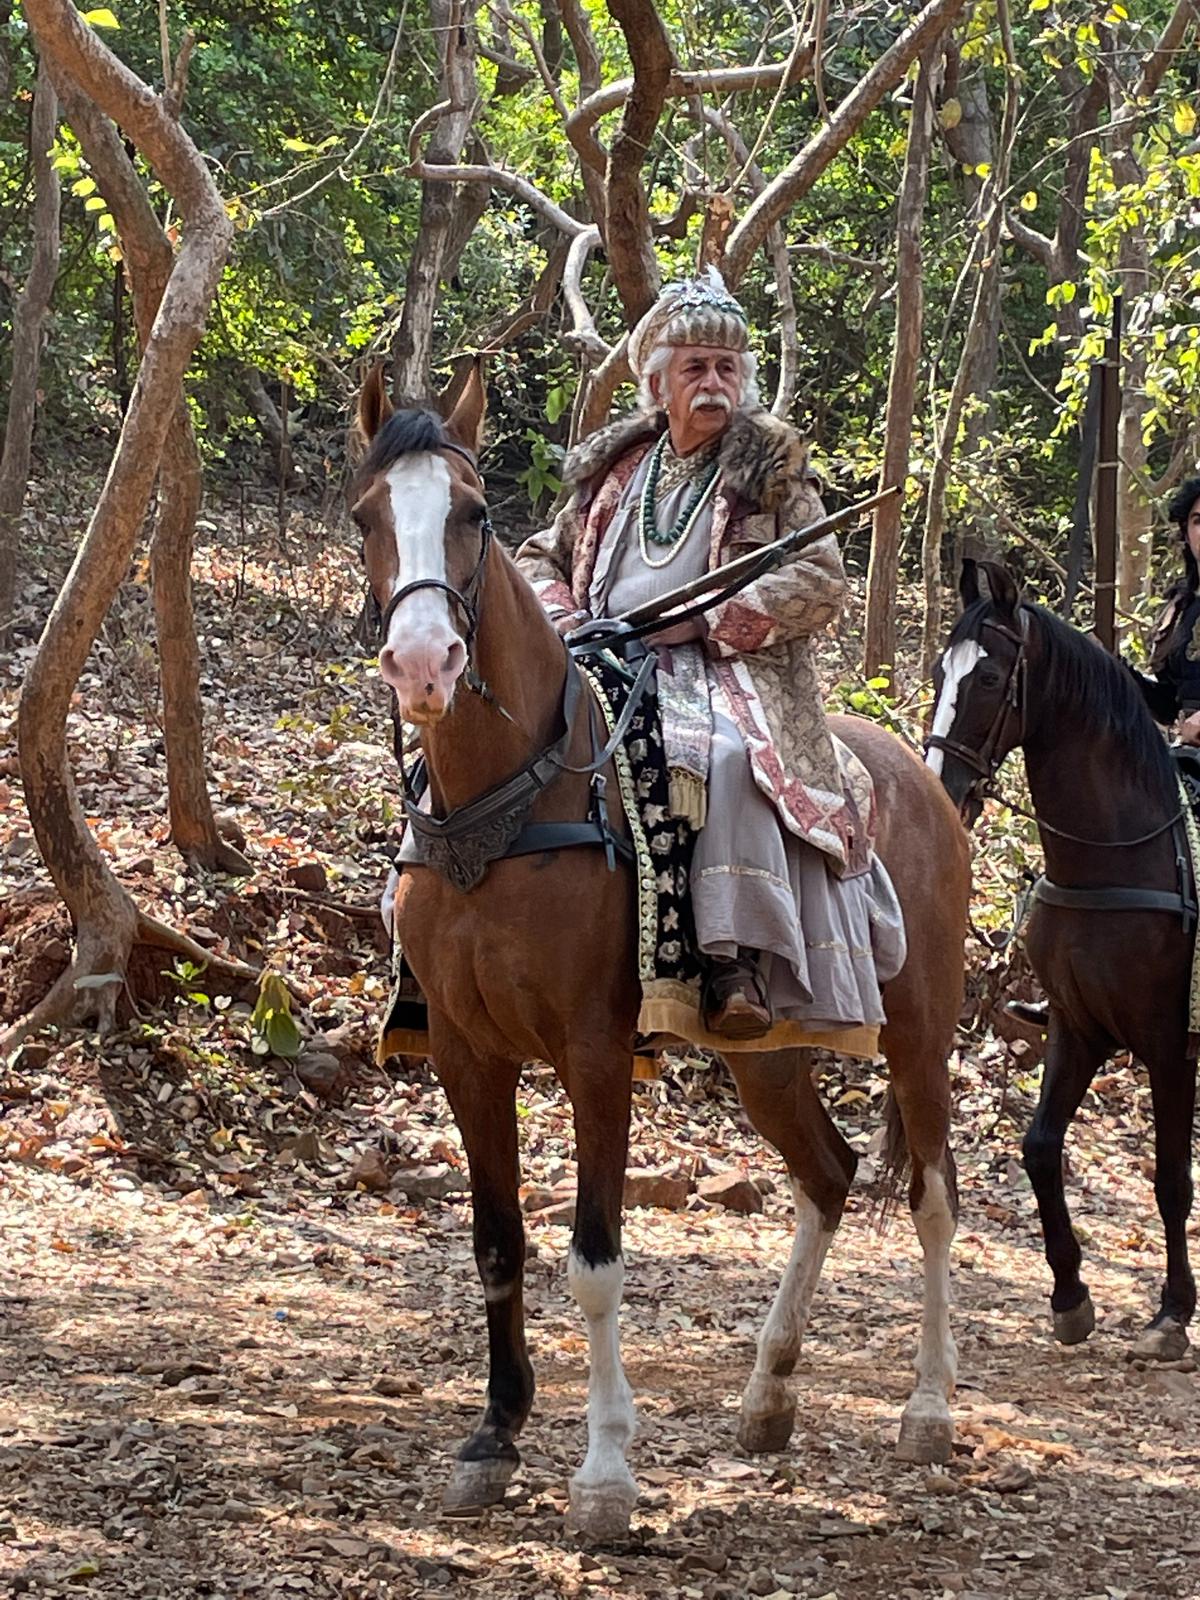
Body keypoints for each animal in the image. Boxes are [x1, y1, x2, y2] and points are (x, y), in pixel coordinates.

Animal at [352, 368, 972, 1542]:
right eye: (367, 516)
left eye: (471, 512)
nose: (422, 663)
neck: (516, 798)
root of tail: (921, 776)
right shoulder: (465, 1052)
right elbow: (496, 1239)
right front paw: (493, 1435)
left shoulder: (594, 1053)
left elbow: (595, 1258)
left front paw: (603, 1474)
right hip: (766, 1055)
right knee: (829, 1175)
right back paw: (769, 1395)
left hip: (921, 1034)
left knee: (930, 1196)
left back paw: (926, 1409)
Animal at [928, 563, 1196, 1363]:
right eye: (939, 672)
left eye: (988, 679)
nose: (941, 789)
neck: (1119, 855)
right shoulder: (1076, 1030)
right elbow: (1041, 1148)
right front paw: (1070, 1296)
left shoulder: (1169, 1047)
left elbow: (1171, 1180)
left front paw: (1172, 1313)